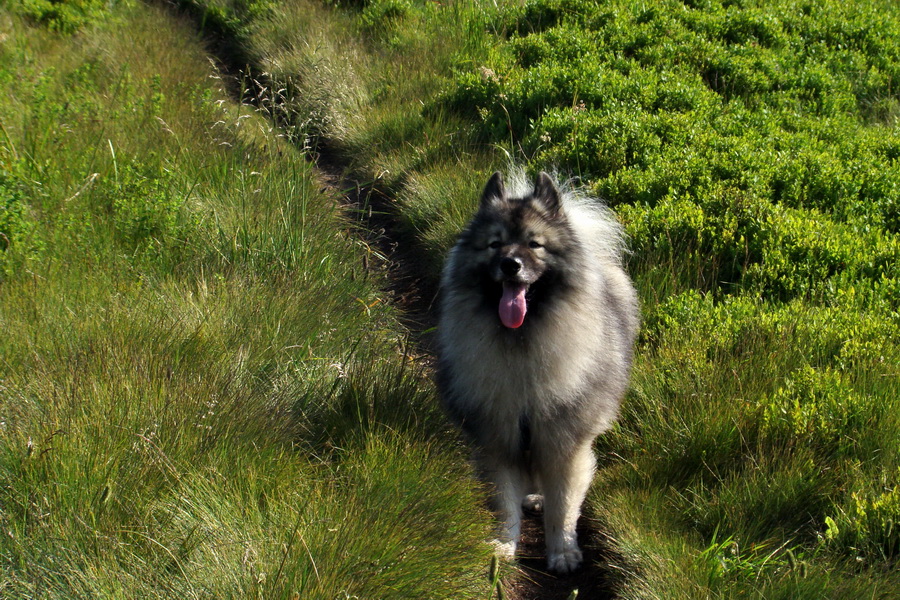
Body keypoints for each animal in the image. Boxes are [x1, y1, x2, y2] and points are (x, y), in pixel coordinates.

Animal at [436, 168, 640, 572]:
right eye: (494, 244)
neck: (522, 344)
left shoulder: (565, 442)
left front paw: (562, 551)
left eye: (534, 244)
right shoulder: (497, 437)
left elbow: (563, 506)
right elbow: (503, 500)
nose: (510, 264)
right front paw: (503, 544)